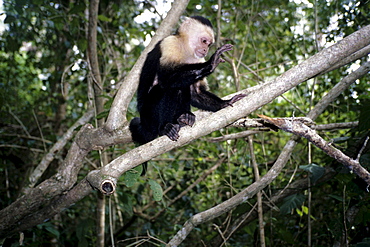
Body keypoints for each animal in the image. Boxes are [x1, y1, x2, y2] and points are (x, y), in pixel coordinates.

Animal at [130, 15, 246, 145]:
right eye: (204, 41)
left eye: (209, 44)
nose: (205, 50)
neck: (185, 48)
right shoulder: (170, 44)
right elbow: (165, 78)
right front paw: (210, 64)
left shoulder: (198, 59)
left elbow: (196, 92)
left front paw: (225, 103)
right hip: (148, 115)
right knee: (169, 88)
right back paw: (165, 127)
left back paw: (184, 118)